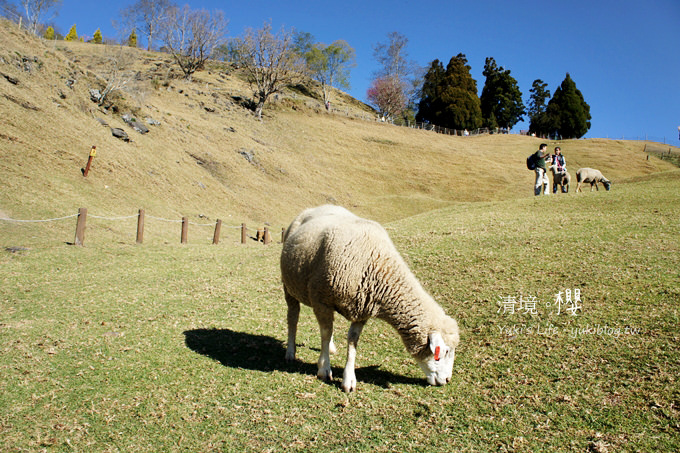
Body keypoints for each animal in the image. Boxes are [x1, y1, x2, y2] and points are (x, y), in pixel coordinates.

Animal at [278, 205, 460, 392]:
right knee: (293, 317)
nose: (447, 380)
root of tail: (313, 208)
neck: (378, 266)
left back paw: (330, 348)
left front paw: (348, 379)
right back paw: (290, 352)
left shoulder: (361, 310)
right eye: (445, 352)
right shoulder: (321, 299)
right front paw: (324, 369)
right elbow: (326, 333)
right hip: (288, 285)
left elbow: (352, 341)